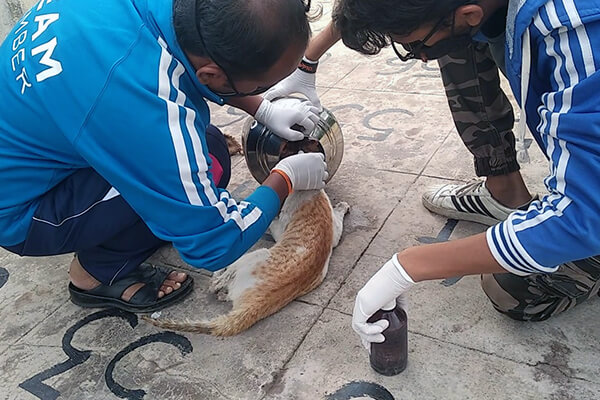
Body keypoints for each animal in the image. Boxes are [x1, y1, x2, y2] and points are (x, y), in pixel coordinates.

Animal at [144, 189, 350, 336]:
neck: (312, 193)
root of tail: (254, 306)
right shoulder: (334, 232)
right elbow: (338, 219)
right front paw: (343, 206)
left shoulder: (280, 227)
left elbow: (271, 222)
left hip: (255, 254)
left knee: (218, 280)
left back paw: (217, 275)